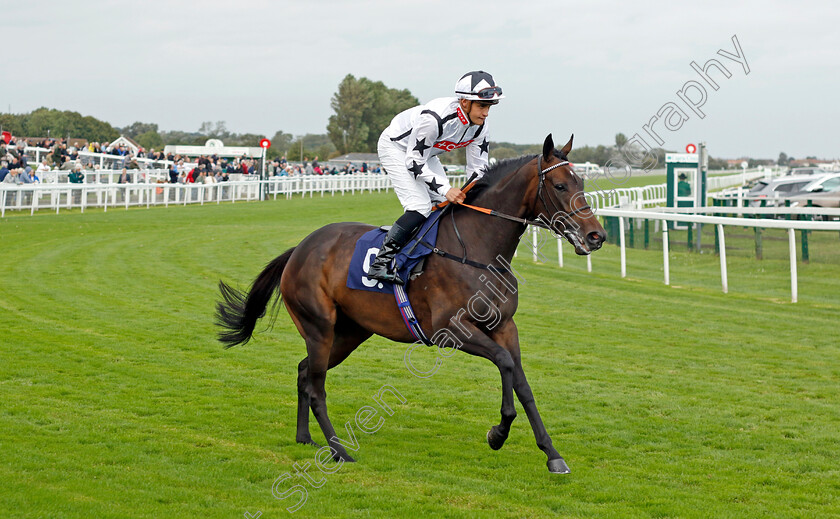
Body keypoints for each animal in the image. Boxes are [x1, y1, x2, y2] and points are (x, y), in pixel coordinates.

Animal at [218, 135, 604, 476]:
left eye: (581, 180)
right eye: (559, 186)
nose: (596, 235)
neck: (477, 249)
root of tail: (299, 249)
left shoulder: (505, 326)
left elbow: (522, 384)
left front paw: (552, 454)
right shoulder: (450, 330)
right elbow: (505, 364)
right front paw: (498, 434)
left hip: (349, 332)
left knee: (303, 372)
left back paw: (306, 438)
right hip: (319, 328)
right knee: (316, 387)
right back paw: (340, 450)